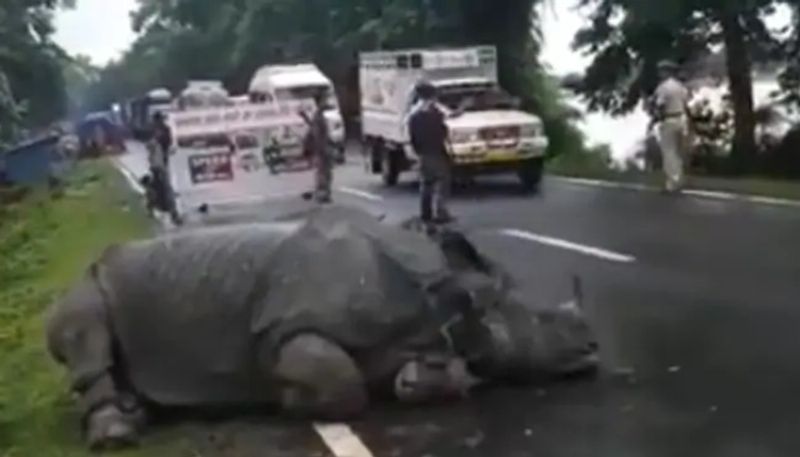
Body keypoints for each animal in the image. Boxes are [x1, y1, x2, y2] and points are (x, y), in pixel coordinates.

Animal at [42, 206, 592, 448]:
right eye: (533, 320)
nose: (592, 344)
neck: (443, 294)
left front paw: (419, 379)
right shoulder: (283, 334)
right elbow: (342, 383)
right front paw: (290, 401)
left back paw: (138, 411)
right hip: (86, 284)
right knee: (84, 327)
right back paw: (117, 433)